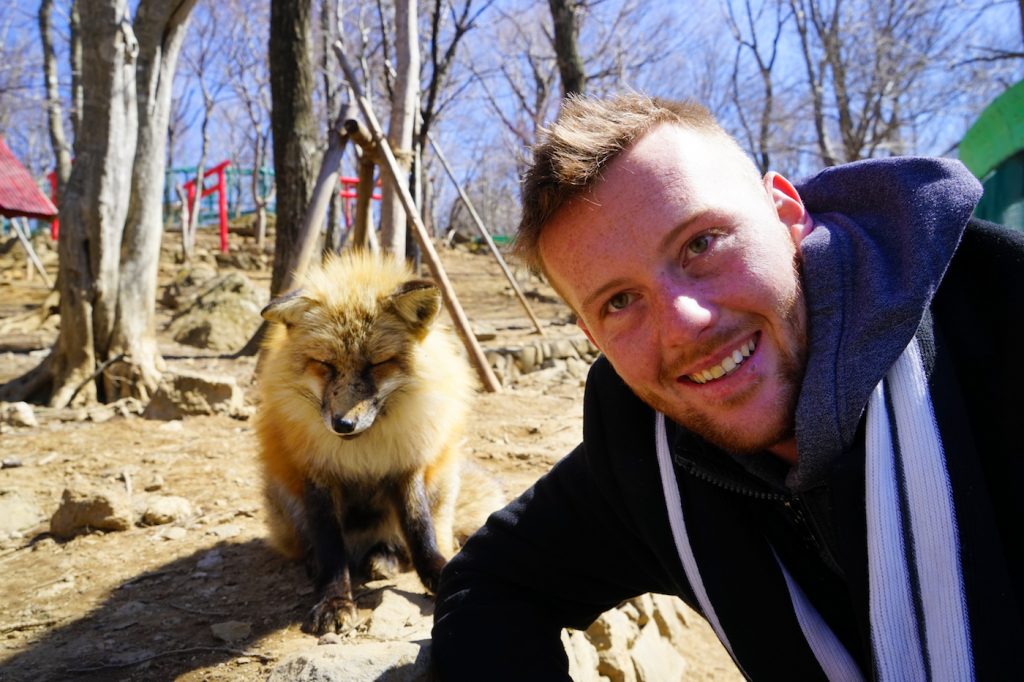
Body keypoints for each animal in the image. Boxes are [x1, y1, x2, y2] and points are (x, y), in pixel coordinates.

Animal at [251, 249, 499, 630]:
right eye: (324, 364)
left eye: (377, 364)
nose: (343, 424)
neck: (364, 451)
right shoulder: (317, 474)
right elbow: (331, 548)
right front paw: (334, 600)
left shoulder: (407, 467)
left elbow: (420, 531)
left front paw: (439, 575)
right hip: (282, 494)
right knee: (313, 544)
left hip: (442, 481)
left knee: (408, 541)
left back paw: (384, 559)